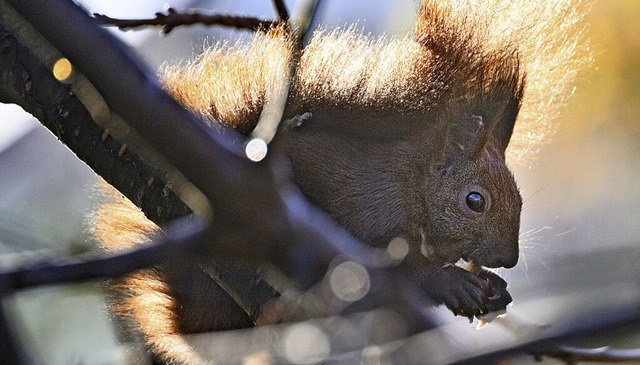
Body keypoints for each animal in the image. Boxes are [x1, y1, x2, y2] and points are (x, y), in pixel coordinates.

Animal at [90, 1, 592, 362]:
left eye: (521, 198)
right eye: (475, 201)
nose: (509, 259)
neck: (412, 189)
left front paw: (492, 288)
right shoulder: (368, 215)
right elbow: (394, 275)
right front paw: (454, 283)